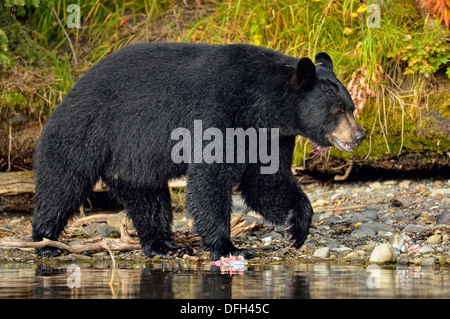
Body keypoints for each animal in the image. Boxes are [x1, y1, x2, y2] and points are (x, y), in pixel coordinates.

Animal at [31, 42, 364, 262]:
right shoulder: (218, 111)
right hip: (84, 131)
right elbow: (210, 178)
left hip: (132, 157)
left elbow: (265, 180)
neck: (261, 103)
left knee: (146, 197)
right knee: (61, 184)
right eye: (337, 111)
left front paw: (298, 226)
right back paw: (46, 242)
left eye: (351, 107)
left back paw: (165, 245)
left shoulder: (271, 134)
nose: (359, 135)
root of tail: (71, 90)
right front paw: (228, 246)